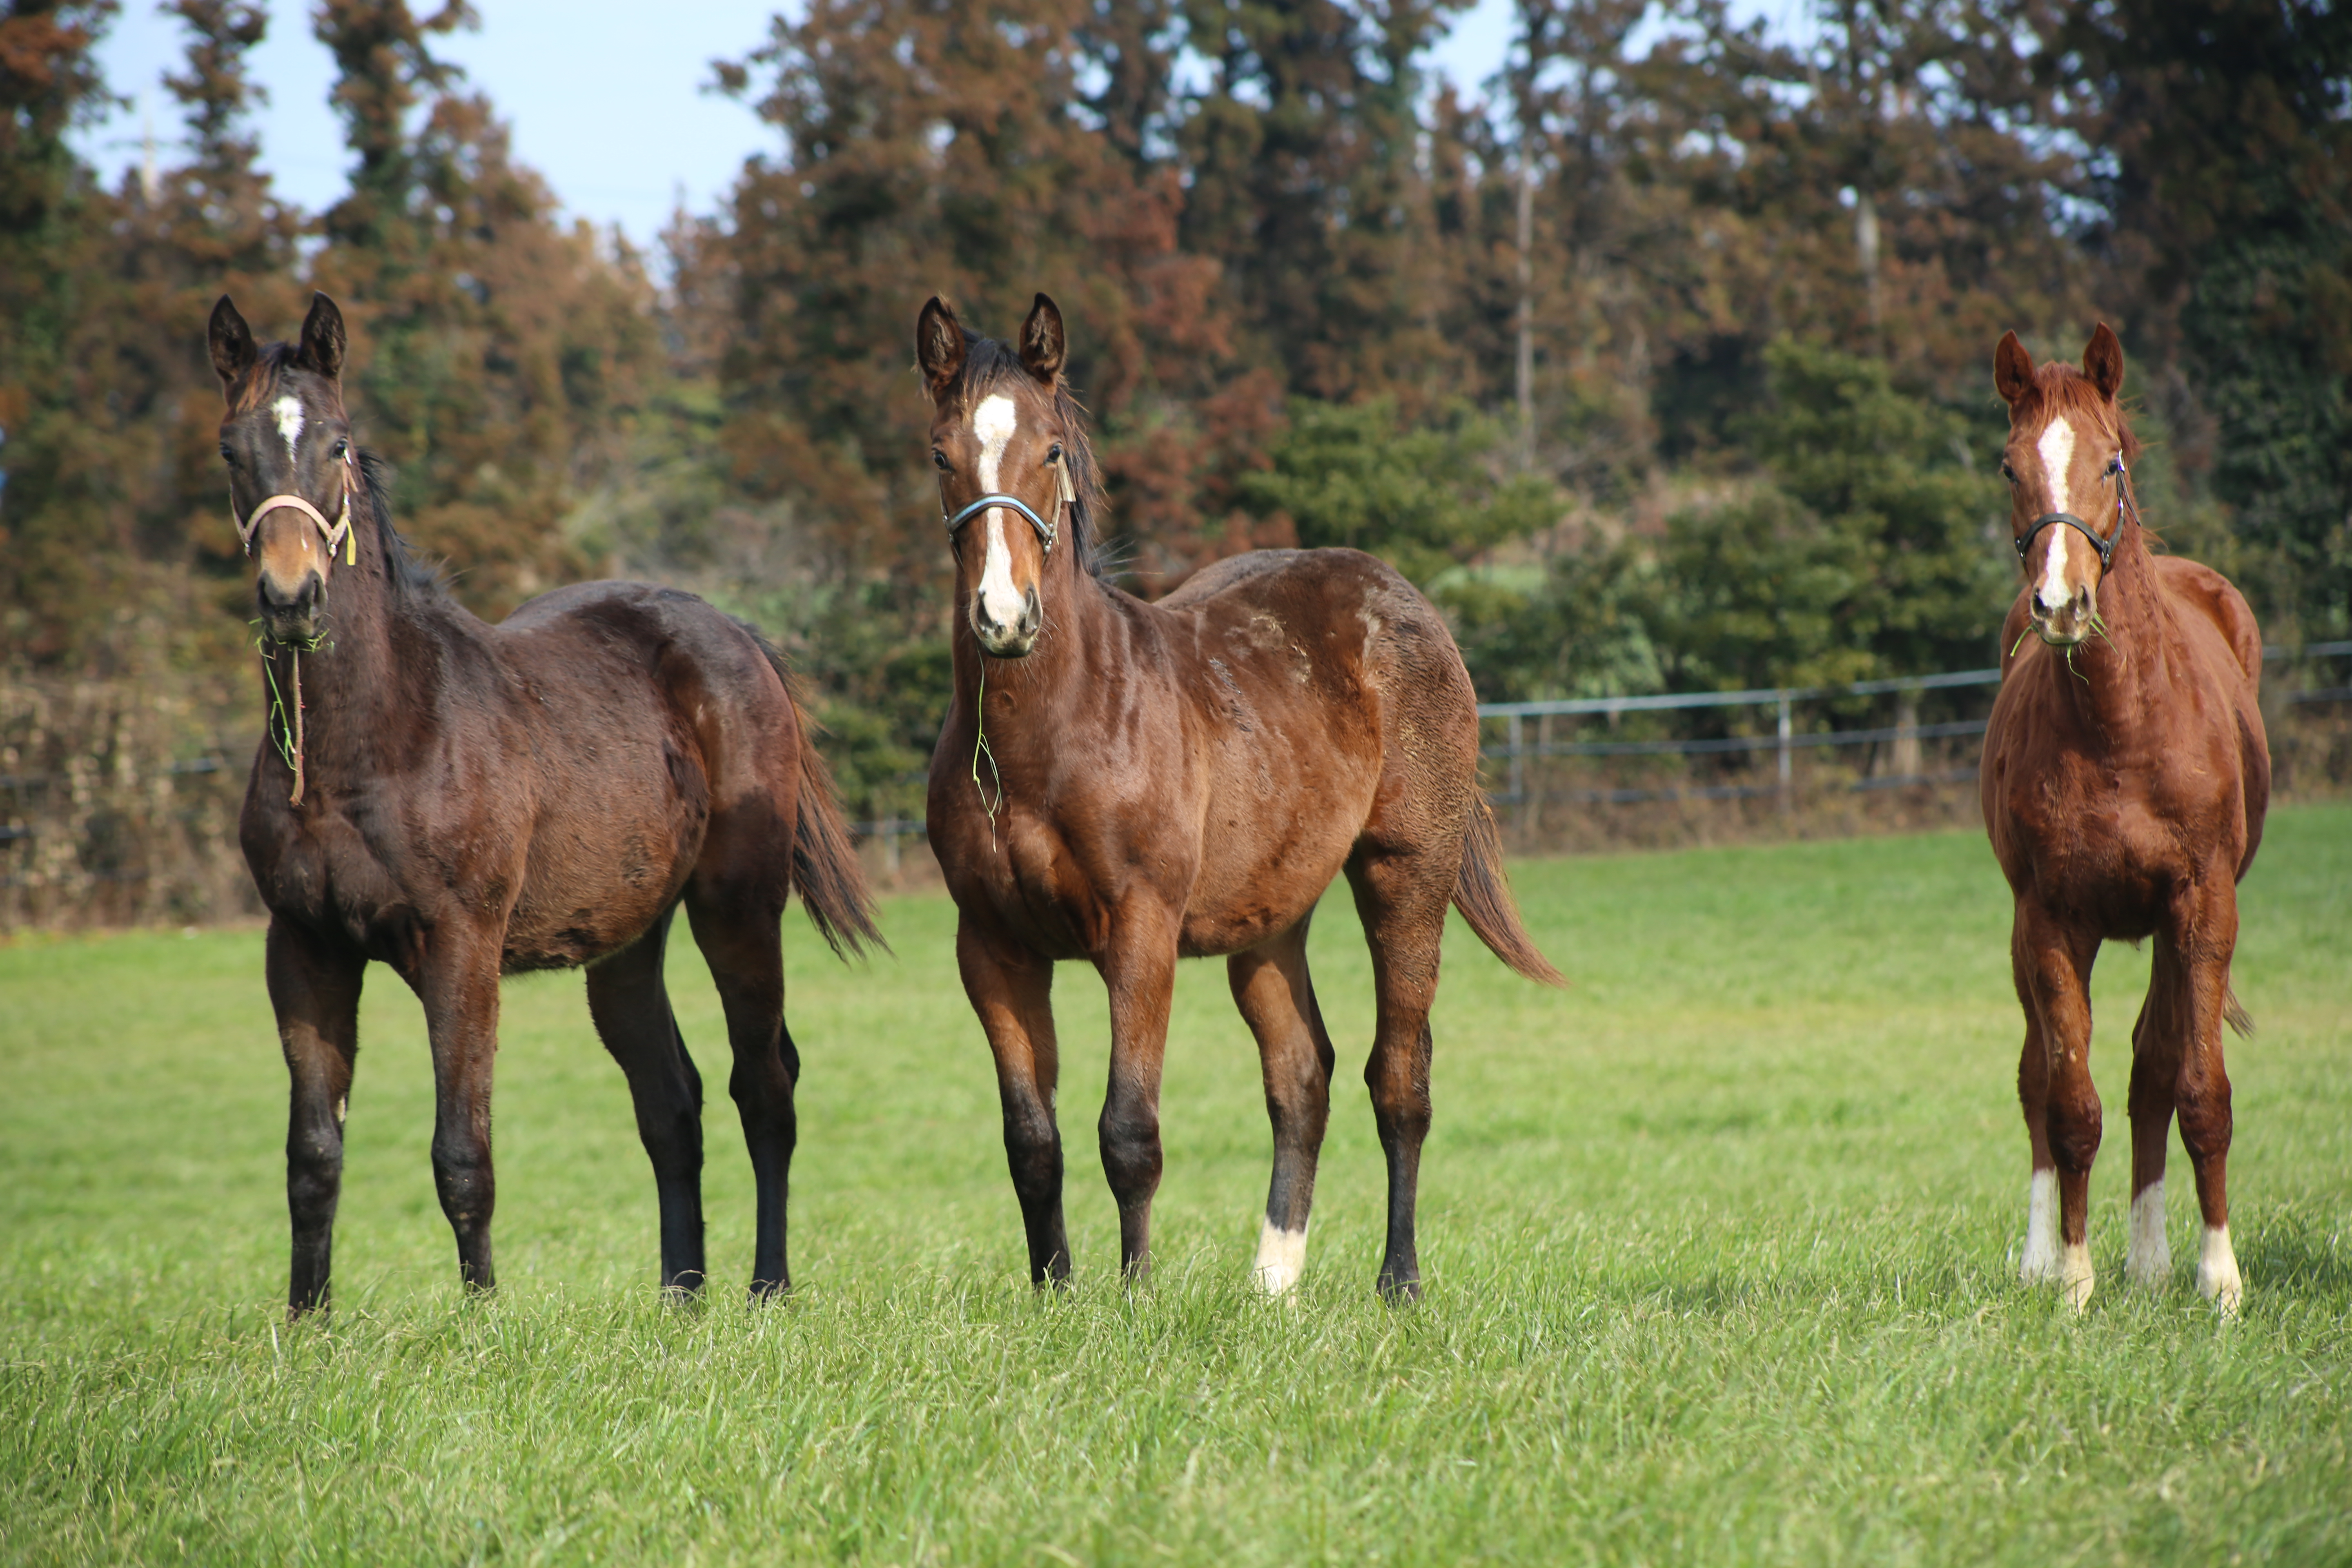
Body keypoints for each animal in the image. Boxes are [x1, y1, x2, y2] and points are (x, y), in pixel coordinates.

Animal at [209, 291, 884, 1316]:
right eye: (231, 449)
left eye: (337, 441)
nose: (292, 597)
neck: (370, 746)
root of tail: (738, 634)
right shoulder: (304, 948)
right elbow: (314, 1155)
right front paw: (307, 1324)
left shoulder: (462, 947)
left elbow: (463, 1151)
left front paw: (483, 1320)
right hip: (626, 941)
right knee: (671, 1100)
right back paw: (679, 1298)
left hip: (736, 909)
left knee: (763, 1084)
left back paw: (766, 1287)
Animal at [912, 294, 1561, 1297]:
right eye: (943, 455)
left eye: (1051, 450)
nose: (1005, 617)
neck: (1052, 733)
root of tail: (1405, 599)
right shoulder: (990, 948)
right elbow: (1033, 1142)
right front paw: (1056, 1295)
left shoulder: (1140, 932)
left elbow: (1128, 1130)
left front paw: (1136, 1298)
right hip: (1269, 923)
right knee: (1302, 1074)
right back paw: (1273, 1285)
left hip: (1406, 876)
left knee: (1399, 1077)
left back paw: (1399, 1281)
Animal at [1976, 324, 2267, 1316]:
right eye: (2010, 464)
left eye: (2111, 461)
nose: (2061, 605)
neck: (2122, 724)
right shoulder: (2051, 920)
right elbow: (2068, 1102)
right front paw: (2071, 1281)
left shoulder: (2202, 907)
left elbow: (2200, 1091)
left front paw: (2220, 1279)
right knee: (2041, 1074)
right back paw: (2052, 1260)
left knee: (2153, 1068)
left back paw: (2153, 1260)